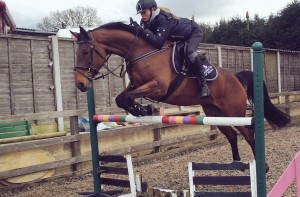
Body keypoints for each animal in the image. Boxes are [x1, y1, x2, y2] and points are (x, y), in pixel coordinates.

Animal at [71, 22, 290, 165]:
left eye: (84, 52)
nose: (81, 84)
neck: (141, 51)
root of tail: (235, 79)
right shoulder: (136, 85)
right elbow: (121, 98)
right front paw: (143, 109)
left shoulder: (158, 87)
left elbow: (126, 97)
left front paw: (143, 109)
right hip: (215, 113)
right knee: (232, 135)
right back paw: (236, 164)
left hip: (234, 113)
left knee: (249, 135)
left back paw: (263, 167)